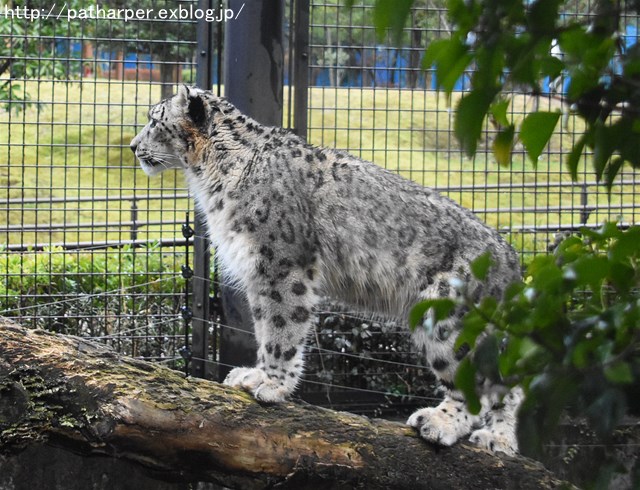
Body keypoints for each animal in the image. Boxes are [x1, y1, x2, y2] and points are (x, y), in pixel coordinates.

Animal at [130, 85, 524, 456]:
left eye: (154, 120)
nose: (134, 146)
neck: (211, 178)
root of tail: (512, 260)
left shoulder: (282, 266)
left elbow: (282, 328)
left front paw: (272, 384)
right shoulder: (258, 275)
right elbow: (263, 327)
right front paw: (254, 374)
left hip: (445, 319)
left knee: (474, 383)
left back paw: (439, 423)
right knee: (509, 386)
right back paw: (498, 440)